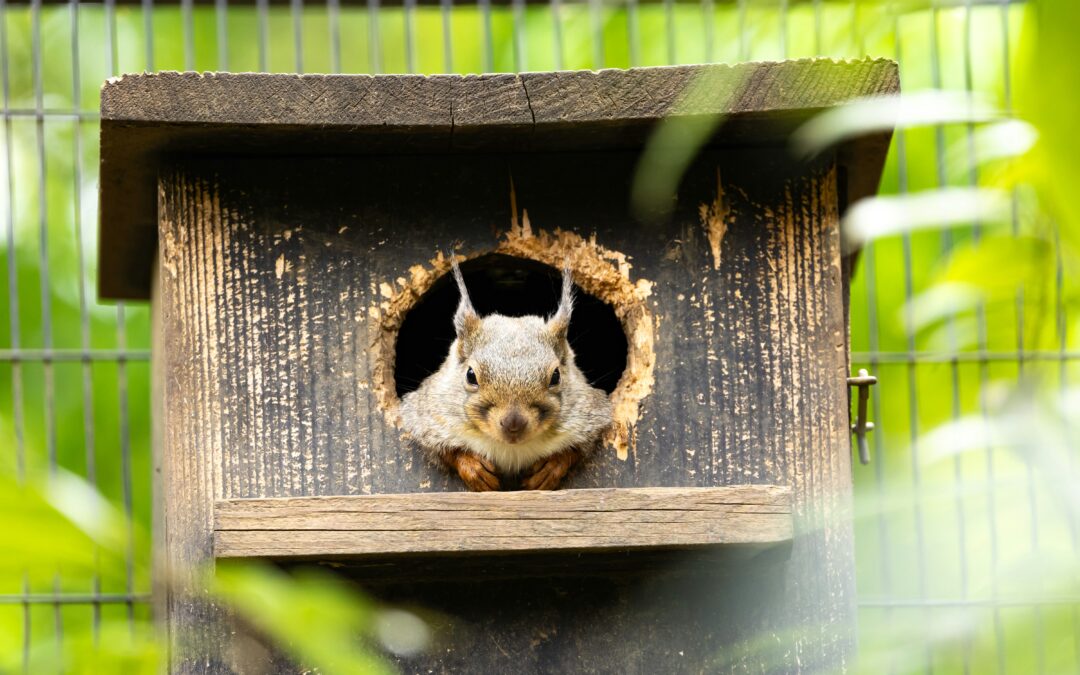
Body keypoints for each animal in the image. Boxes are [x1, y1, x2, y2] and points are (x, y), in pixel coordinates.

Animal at [399, 258, 613, 491]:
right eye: (470, 375)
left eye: (556, 376)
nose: (513, 424)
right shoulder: (427, 417)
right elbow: (445, 451)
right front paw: (474, 469)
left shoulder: (591, 415)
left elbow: (576, 450)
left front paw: (550, 468)